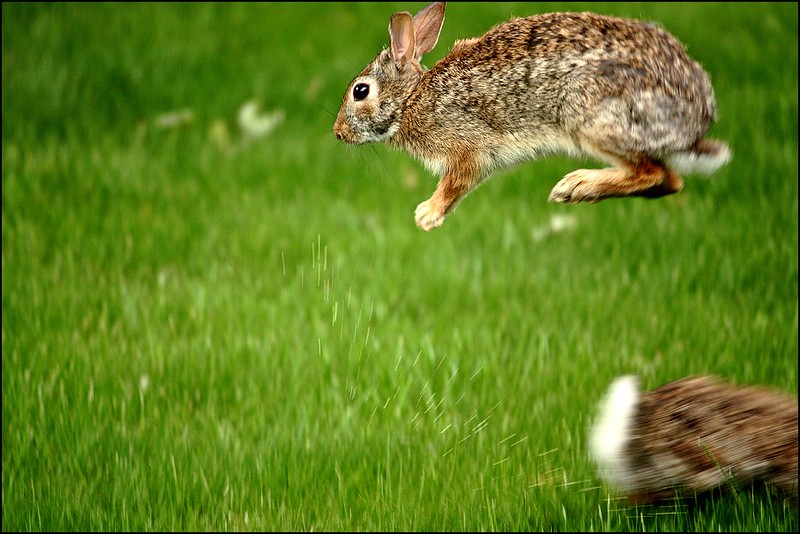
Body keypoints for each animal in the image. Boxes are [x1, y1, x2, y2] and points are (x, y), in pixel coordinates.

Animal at [333, 2, 731, 231]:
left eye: (360, 91)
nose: (338, 133)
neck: (411, 99)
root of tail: (698, 114)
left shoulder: (467, 148)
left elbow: (455, 183)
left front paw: (427, 215)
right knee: (669, 180)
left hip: (593, 116)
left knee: (655, 173)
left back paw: (577, 186)